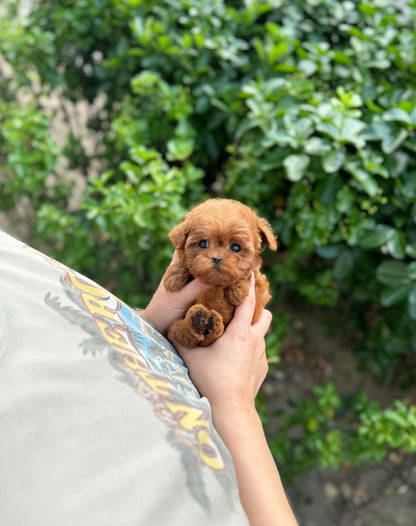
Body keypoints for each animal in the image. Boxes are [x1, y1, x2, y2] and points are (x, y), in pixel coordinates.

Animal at [162, 200, 276, 348]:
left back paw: (210, 324)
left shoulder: (258, 299)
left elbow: (250, 274)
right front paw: (174, 276)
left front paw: (237, 290)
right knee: (184, 335)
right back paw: (198, 322)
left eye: (236, 247)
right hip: (175, 327)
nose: (217, 258)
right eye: (203, 243)